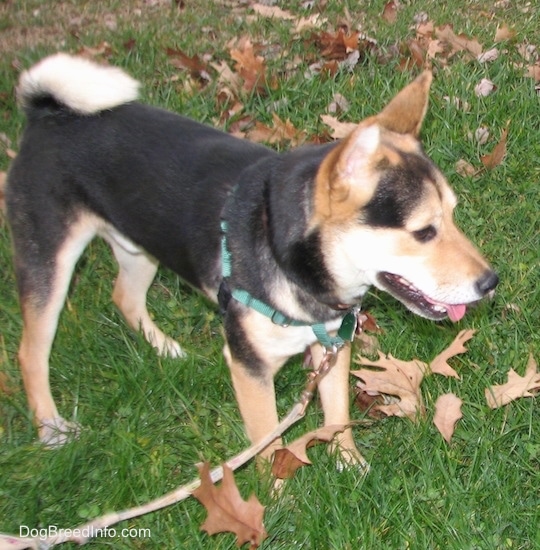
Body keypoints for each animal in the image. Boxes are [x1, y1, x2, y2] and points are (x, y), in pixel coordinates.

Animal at [5, 55, 498, 470]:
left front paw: (348, 463)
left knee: (123, 296)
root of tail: (46, 113)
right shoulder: (250, 367)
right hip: (49, 259)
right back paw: (51, 430)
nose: (491, 282)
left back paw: (166, 348)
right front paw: (275, 499)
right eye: (424, 231)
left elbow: (337, 414)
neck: (295, 264)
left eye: (453, 214)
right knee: (30, 351)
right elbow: (267, 439)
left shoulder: (333, 346)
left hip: (140, 242)